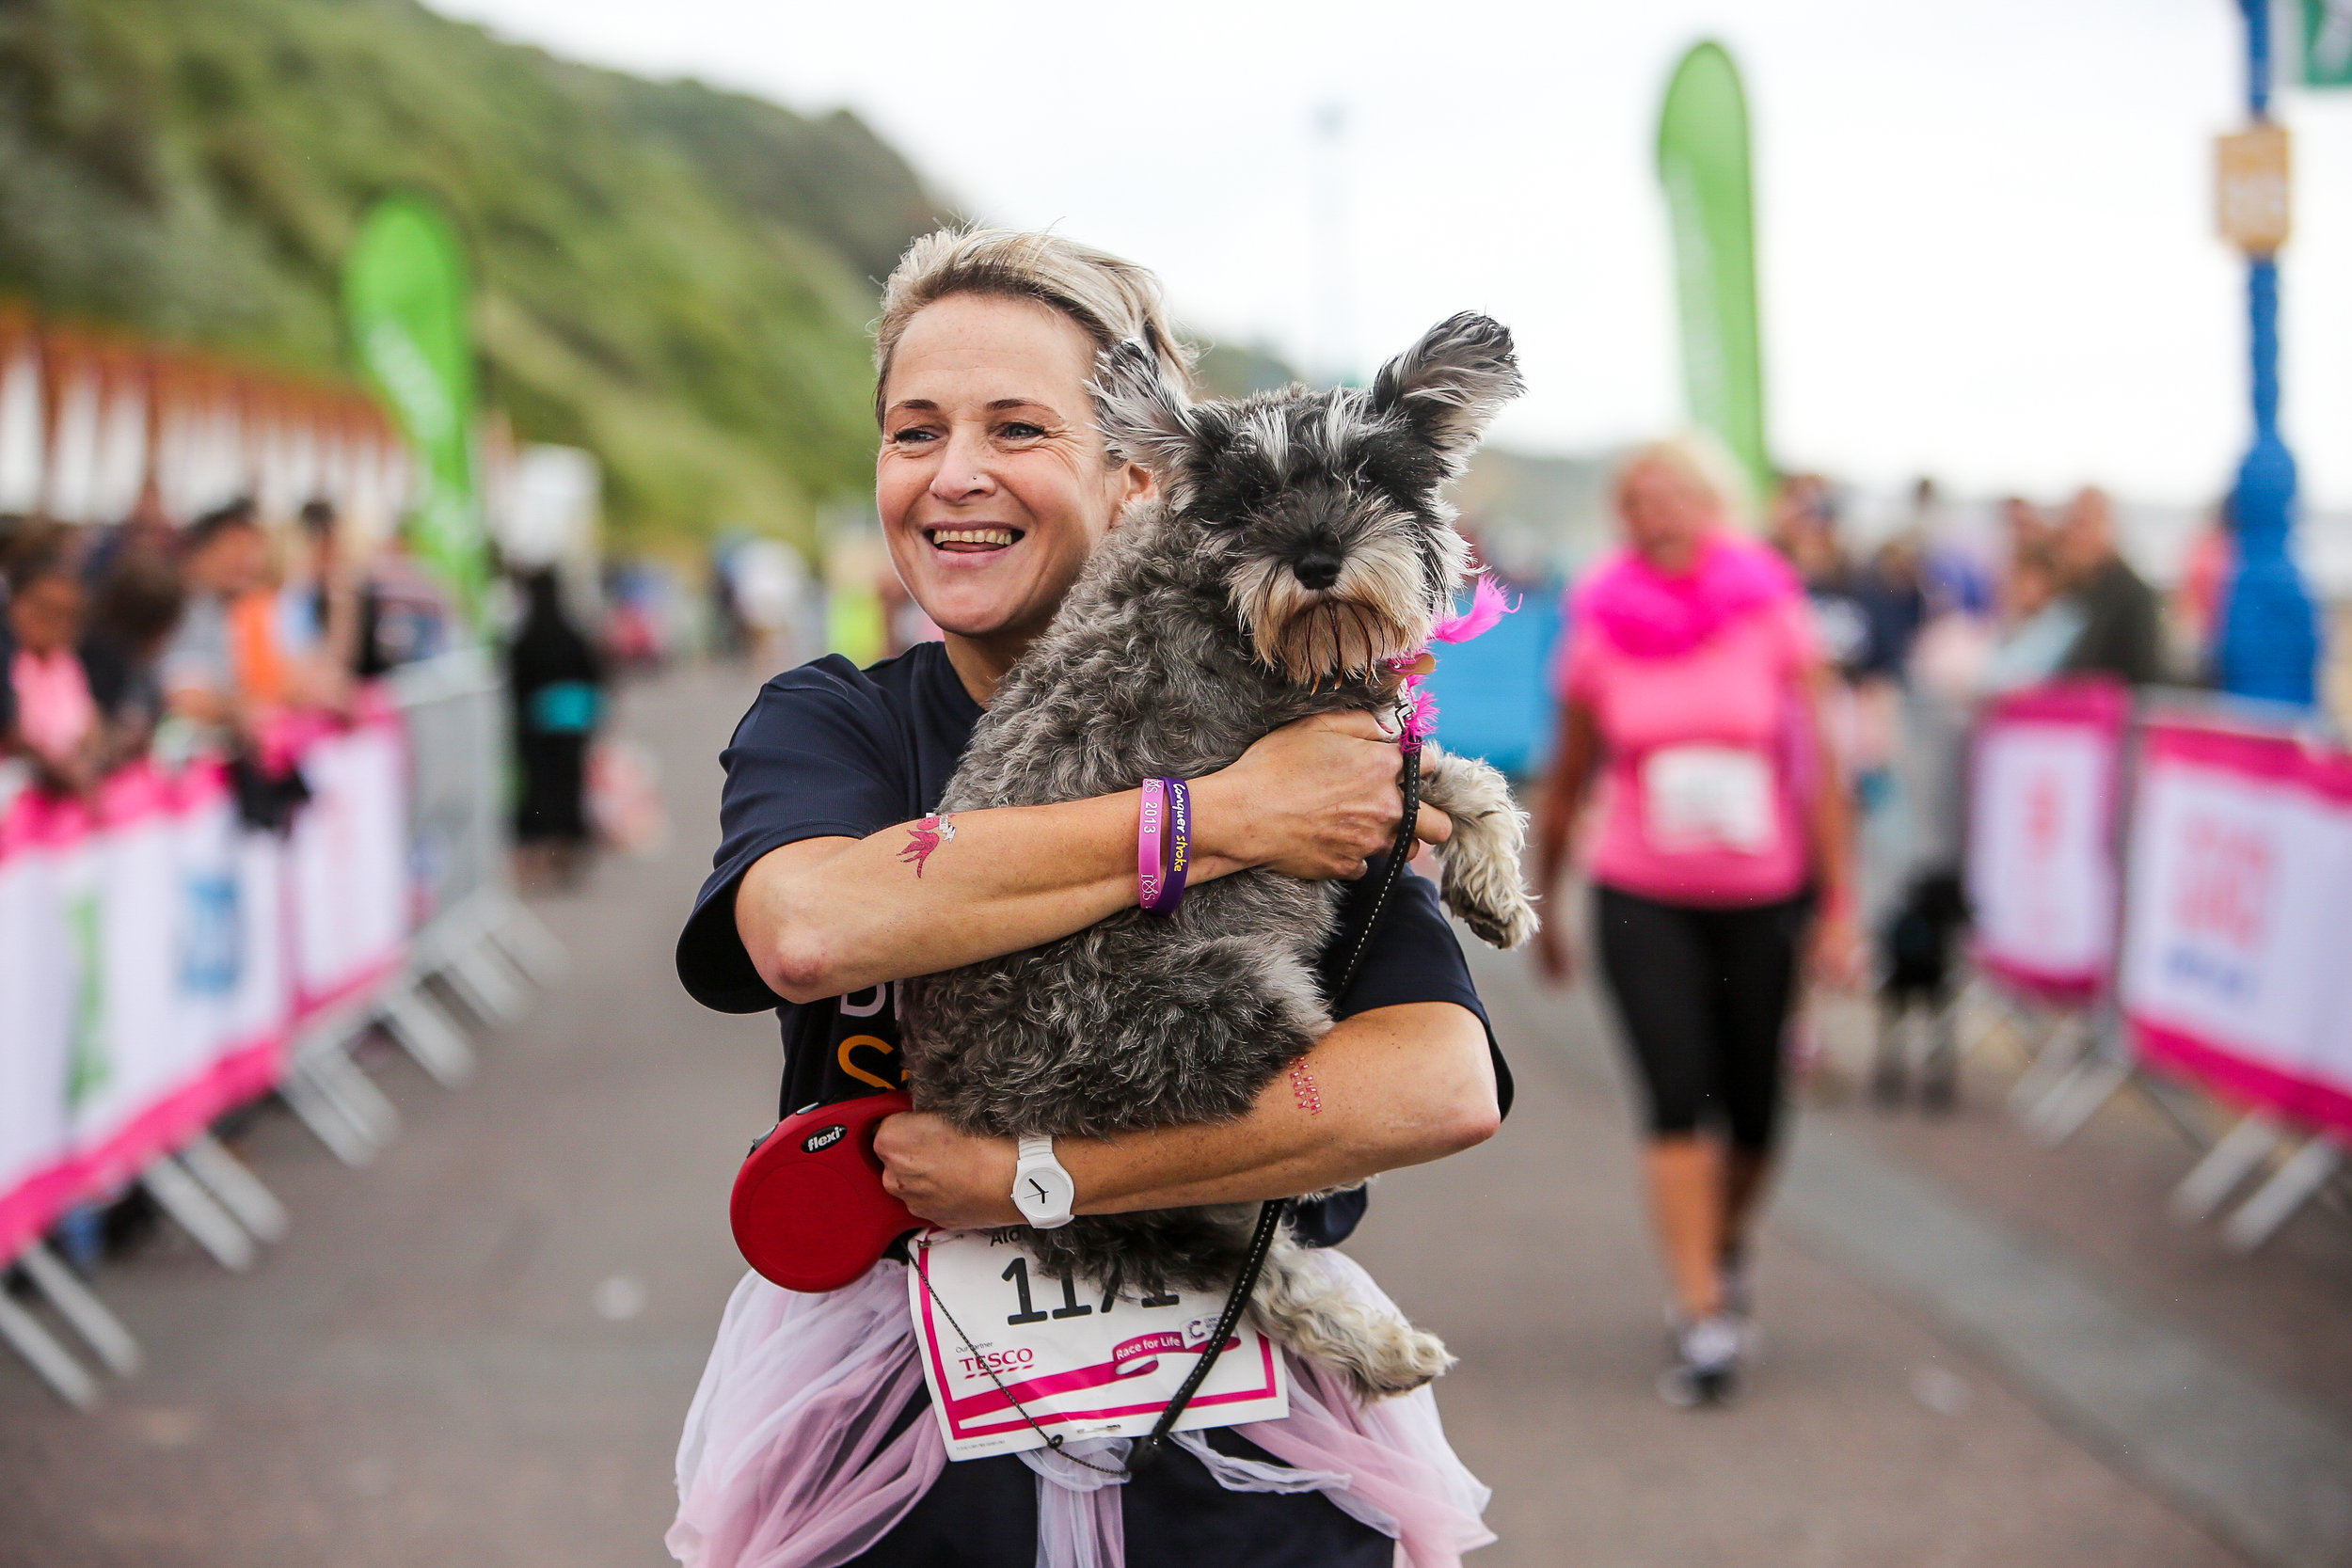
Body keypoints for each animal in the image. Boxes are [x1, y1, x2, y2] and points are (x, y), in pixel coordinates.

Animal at [898, 309, 1543, 1401]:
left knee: (1255, 1260)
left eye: (1368, 472)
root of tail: (952, 1090)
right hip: (1232, 998)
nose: (1318, 558)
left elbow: (1454, 775)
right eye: (1248, 497)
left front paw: (1492, 886)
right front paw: (1490, 877)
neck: (1226, 600)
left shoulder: (1370, 742)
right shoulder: (1346, 743)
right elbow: (1454, 773)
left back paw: (1379, 1345)